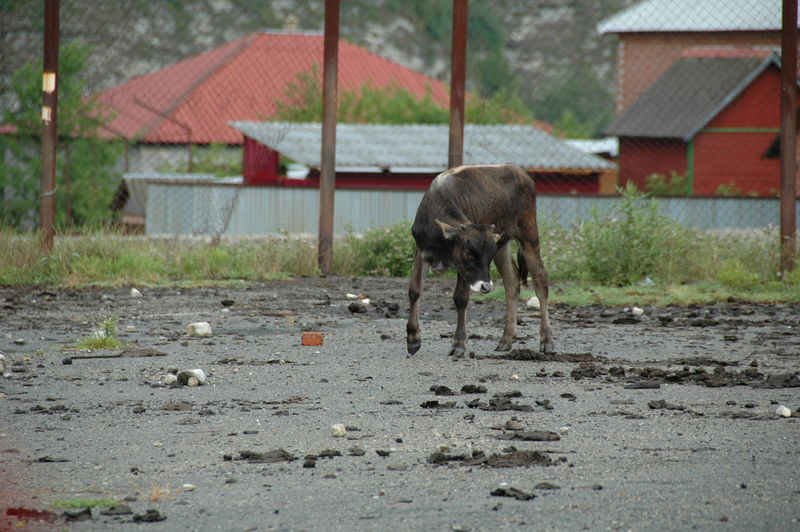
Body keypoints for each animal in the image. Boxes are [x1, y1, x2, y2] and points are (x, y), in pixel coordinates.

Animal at [406, 164, 556, 358]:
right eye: (469, 252)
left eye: (487, 256)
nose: (486, 286)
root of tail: (517, 170)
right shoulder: (422, 251)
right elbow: (415, 290)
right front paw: (413, 340)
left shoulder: (463, 269)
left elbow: (461, 298)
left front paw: (459, 344)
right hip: (503, 244)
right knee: (511, 282)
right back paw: (506, 340)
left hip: (528, 234)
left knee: (540, 281)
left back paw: (547, 341)